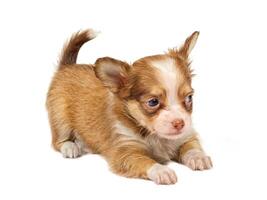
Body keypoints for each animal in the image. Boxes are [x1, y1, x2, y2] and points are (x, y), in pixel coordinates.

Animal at [47, 29, 213, 184]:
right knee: (58, 141)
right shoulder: (126, 153)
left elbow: (192, 146)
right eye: (153, 102)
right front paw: (162, 171)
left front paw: (199, 157)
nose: (180, 123)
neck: (155, 136)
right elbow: (146, 161)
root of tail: (67, 66)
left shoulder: (186, 136)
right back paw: (70, 147)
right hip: (60, 118)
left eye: (189, 98)